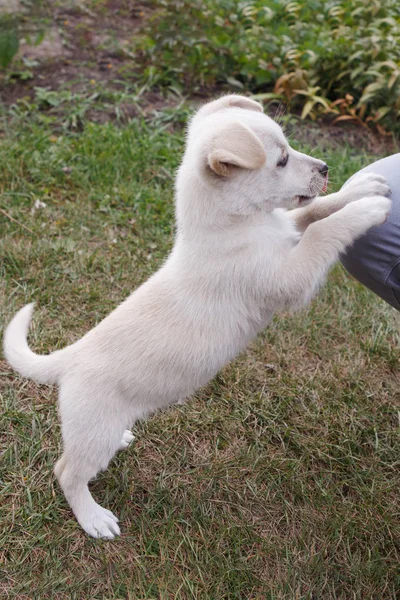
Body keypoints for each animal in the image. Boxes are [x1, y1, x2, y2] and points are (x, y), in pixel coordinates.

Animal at [3, 95, 390, 540]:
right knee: (67, 471)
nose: (325, 168)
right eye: (280, 160)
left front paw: (362, 188)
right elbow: (323, 232)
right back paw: (94, 518)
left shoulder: (288, 231)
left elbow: (318, 212)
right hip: (92, 433)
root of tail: (69, 358)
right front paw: (370, 208)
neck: (234, 226)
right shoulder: (291, 278)